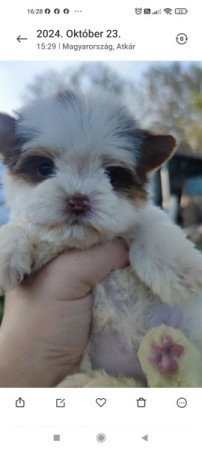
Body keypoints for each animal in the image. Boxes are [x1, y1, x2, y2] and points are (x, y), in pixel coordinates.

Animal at [0, 89, 202, 386]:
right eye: (45, 169)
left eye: (112, 175)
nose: (78, 200)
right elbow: (19, 227)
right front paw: (6, 250)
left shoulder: (139, 216)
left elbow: (150, 225)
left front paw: (179, 271)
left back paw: (170, 360)